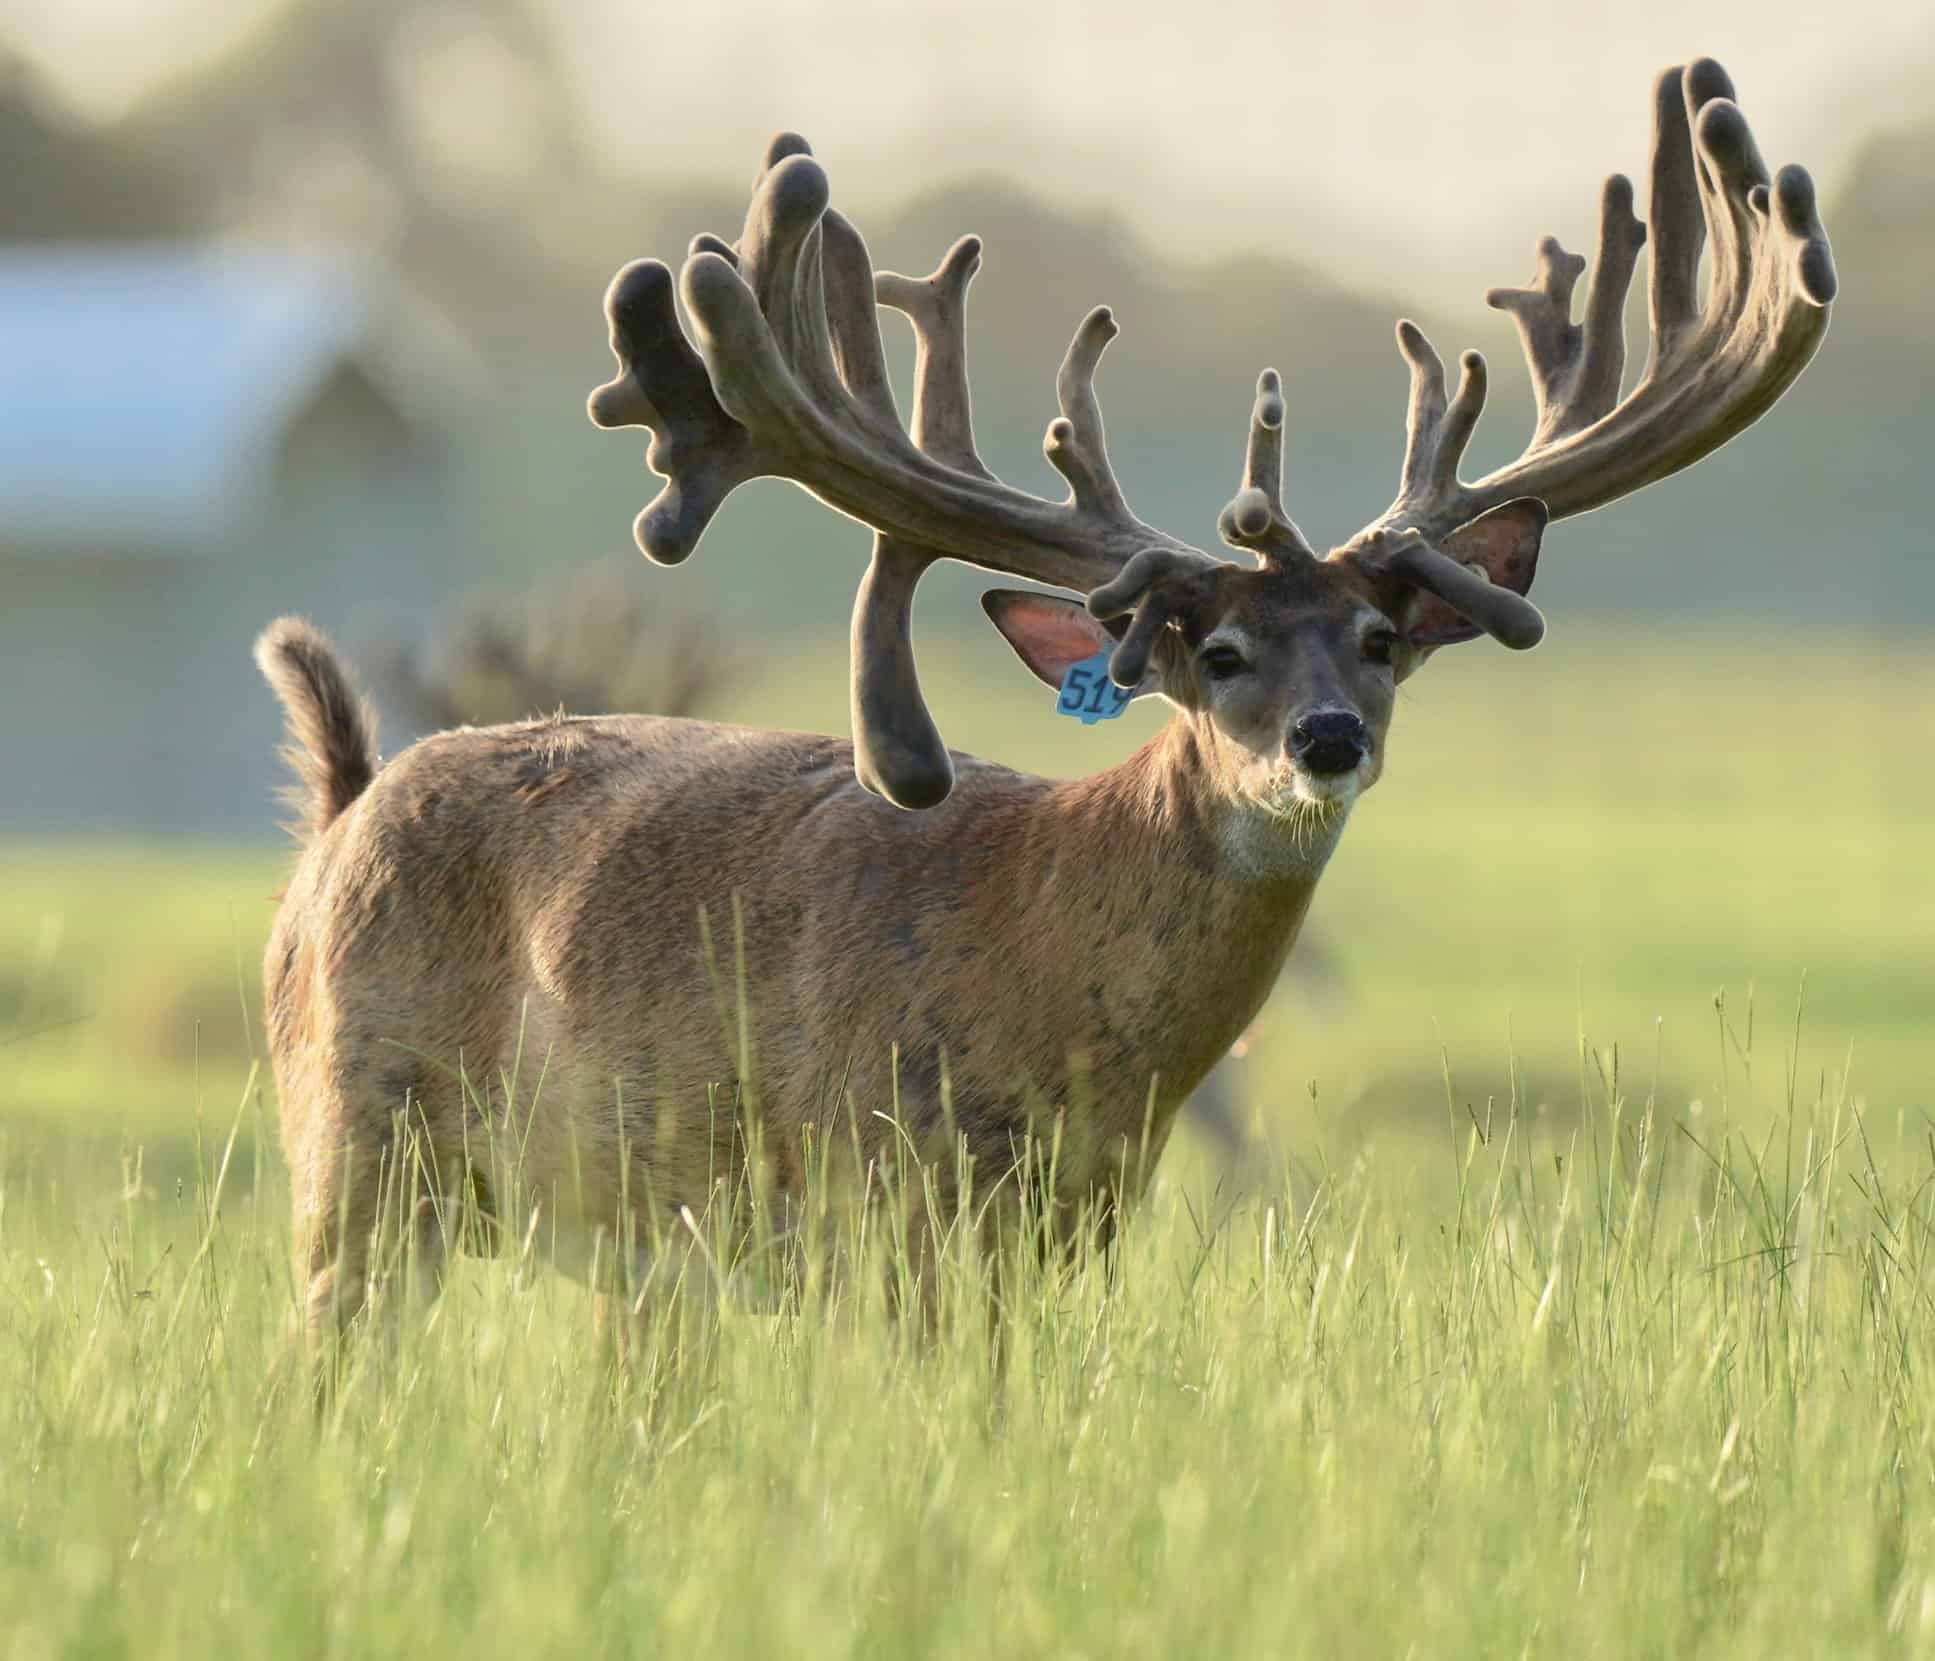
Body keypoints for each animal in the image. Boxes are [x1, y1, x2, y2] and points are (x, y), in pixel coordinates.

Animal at [256, 60, 1835, 1349]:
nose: (1326, 739)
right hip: (354, 1145)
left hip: (626, 1245)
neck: (1040, 957)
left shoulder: (1056, 1232)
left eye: (1384, 639)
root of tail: (345, 807)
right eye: (1213, 652)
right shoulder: (882, 1201)